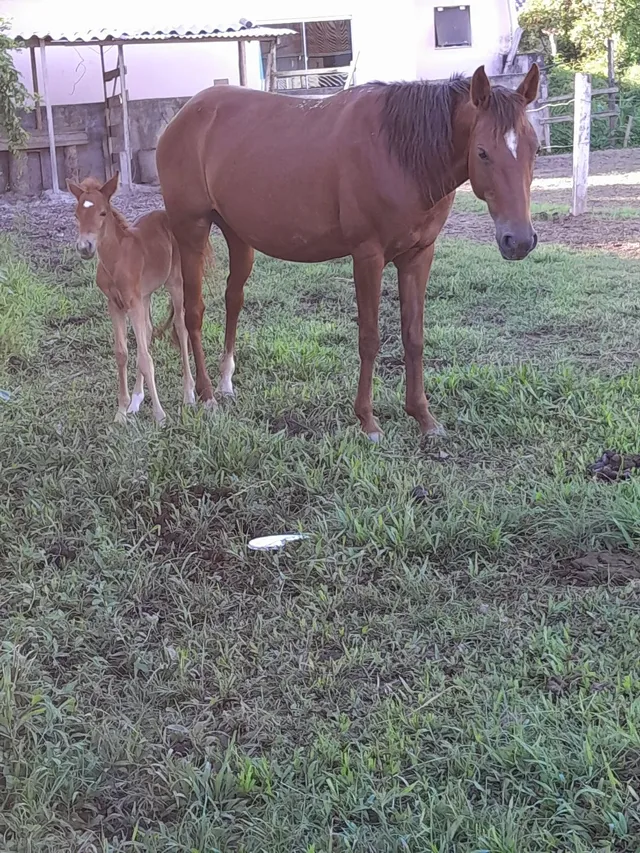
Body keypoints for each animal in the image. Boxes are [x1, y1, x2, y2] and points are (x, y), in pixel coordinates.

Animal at [67, 174, 194, 422]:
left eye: (102, 213)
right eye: (76, 215)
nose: (85, 247)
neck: (116, 260)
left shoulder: (132, 303)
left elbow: (145, 358)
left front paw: (159, 415)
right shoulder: (115, 304)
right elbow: (123, 353)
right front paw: (122, 412)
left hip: (175, 284)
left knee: (181, 328)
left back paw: (189, 394)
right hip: (145, 295)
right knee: (148, 331)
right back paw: (137, 400)